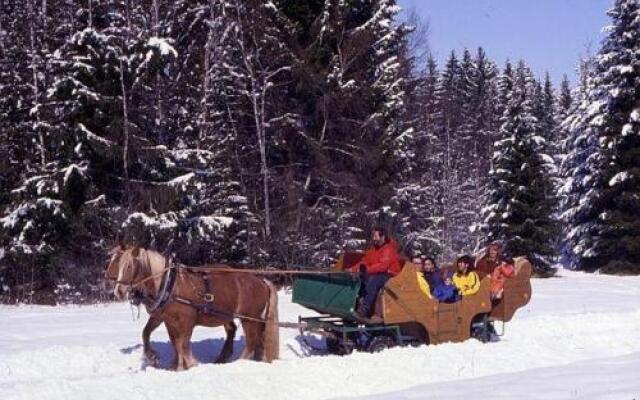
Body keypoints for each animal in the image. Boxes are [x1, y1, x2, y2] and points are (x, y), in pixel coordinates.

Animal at [104, 245, 278, 370]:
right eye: (118, 264)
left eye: (129, 266)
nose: (118, 291)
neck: (170, 285)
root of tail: (261, 281)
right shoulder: (167, 321)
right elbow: (170, 342)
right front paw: (174, 365)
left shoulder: (187, 321)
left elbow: (183, 345)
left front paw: (191, 364)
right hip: (239, 316)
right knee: (250, 335)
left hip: (249, 318)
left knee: (251, 341)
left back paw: (240, 362)